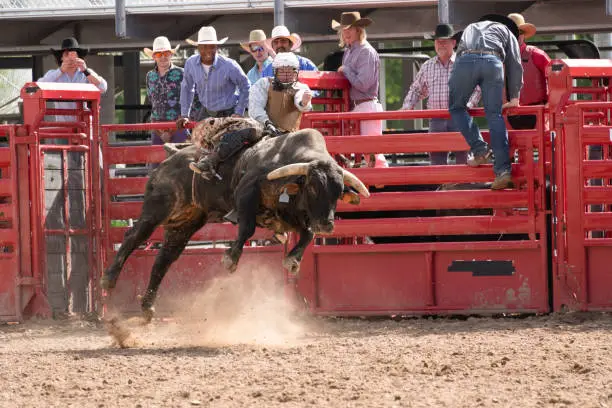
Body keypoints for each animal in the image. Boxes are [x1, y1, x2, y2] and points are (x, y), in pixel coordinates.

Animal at [100, 119, 368, 320]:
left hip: (184, 223)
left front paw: (293, 260)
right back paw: (109, 279)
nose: (327, 225)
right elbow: (246, 228)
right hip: (158, 207)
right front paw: (230, 258)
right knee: (134, 237)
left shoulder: (292, 216)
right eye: (312, 187)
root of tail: (169, 158)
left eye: (338, 192)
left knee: (164, 259)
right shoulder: (246, 192)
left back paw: (147, 306)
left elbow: (307, 234)